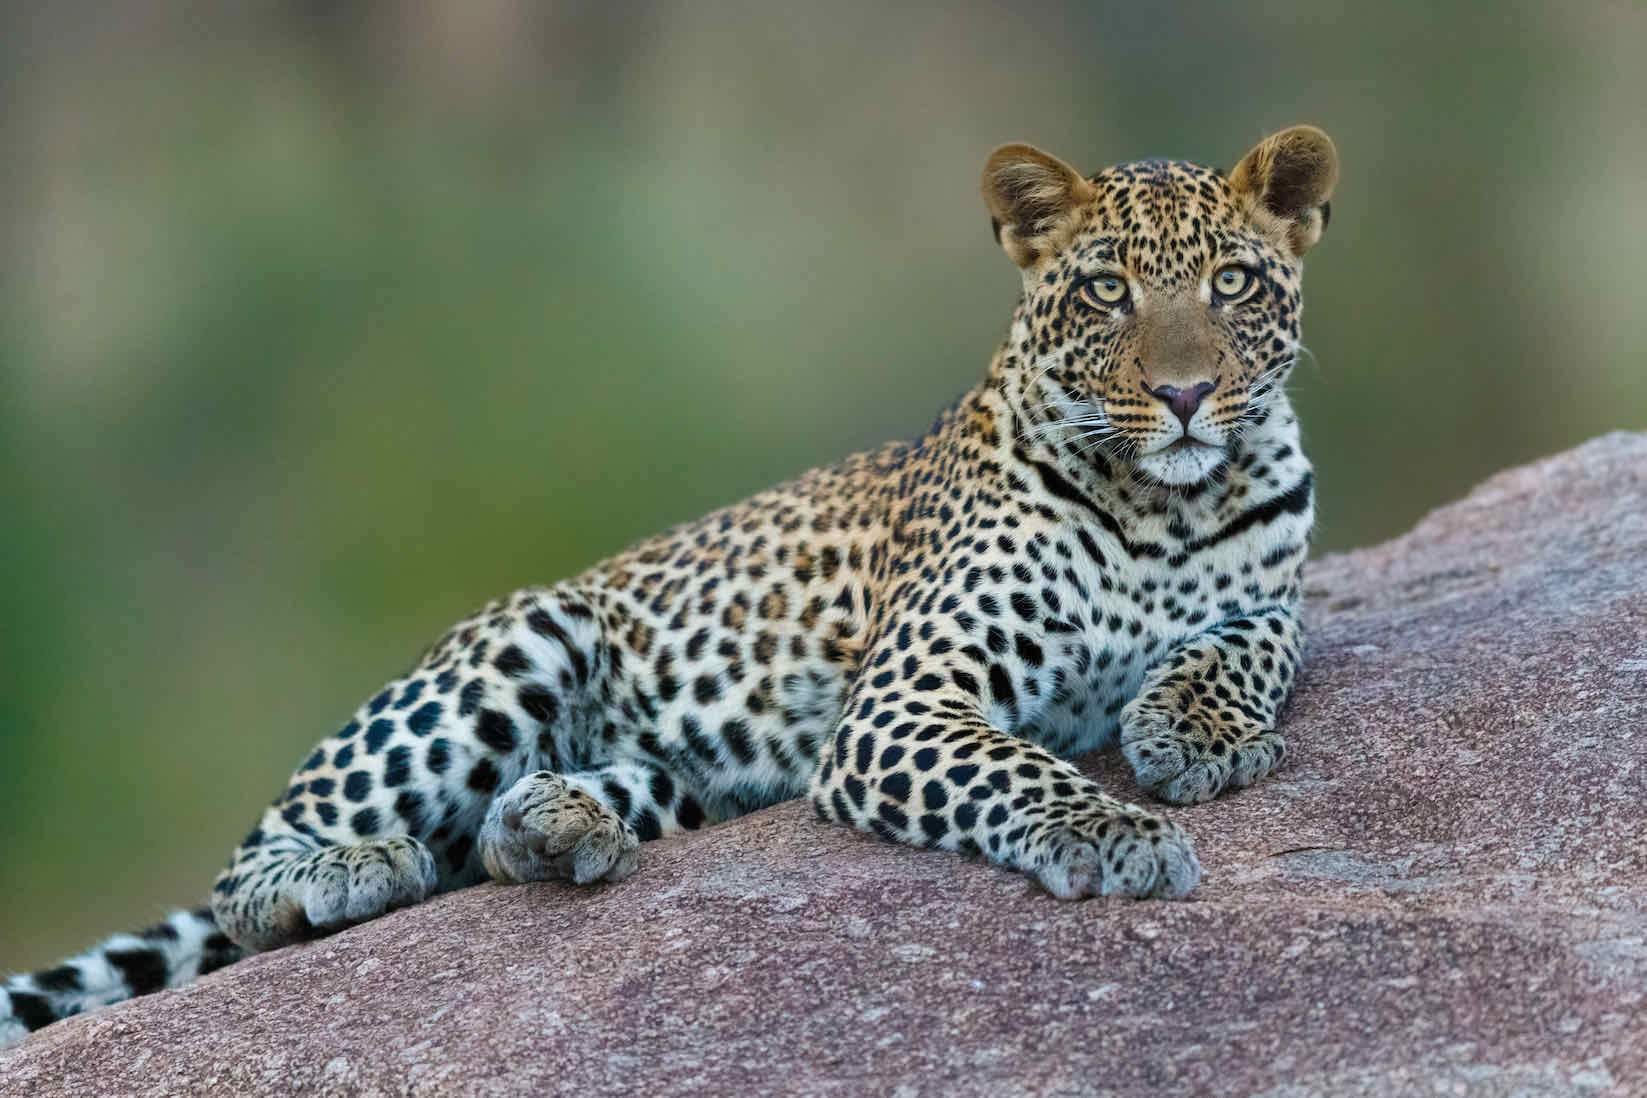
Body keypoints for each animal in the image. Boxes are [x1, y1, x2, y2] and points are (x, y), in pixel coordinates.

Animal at [1, 125, 1338, 1047]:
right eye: (1108, 290)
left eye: (1231, 283)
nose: (1185, 394)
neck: (1167, 504)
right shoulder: (903, 701)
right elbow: (1017, 767)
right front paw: (1118, 832)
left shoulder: (1274, 589)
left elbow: (1256, 641)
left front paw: (1190, 732)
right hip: (516, 646)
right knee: (252, 868)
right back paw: (354, 867)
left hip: (685, 776)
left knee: (512, 831)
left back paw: (554, 826)